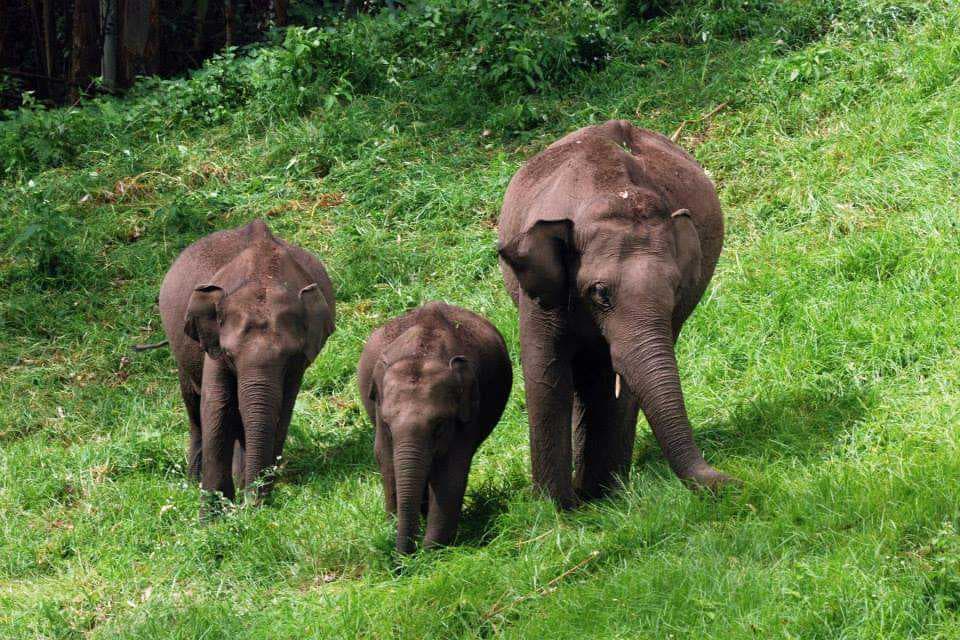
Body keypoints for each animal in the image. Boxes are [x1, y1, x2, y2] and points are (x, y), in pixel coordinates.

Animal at [159, 219, 335, 506]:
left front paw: (253, 495)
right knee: (193, 405)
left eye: (289, 357)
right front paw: (217, 504)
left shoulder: (300, 361)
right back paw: (194, 481)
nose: (253, 504)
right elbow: (217, 404)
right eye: (229, 355)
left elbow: (282, 407)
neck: (263, 275)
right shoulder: (214, 344)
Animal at [358, 302, 512, 554]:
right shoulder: (379, 411)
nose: (406, 557)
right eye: (388, 425)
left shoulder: (466, 413)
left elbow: (452, 468)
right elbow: (386, 459)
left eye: (439, 425)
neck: (422, 352)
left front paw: (433, 551)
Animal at [497, 119, 737, 508]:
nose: (732, 483)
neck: (611, 191)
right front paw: (556, 508)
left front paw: (602, 498)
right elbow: (545, 369)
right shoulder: (540, 295)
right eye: (600, 293)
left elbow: (621, 378)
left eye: (676, 290)